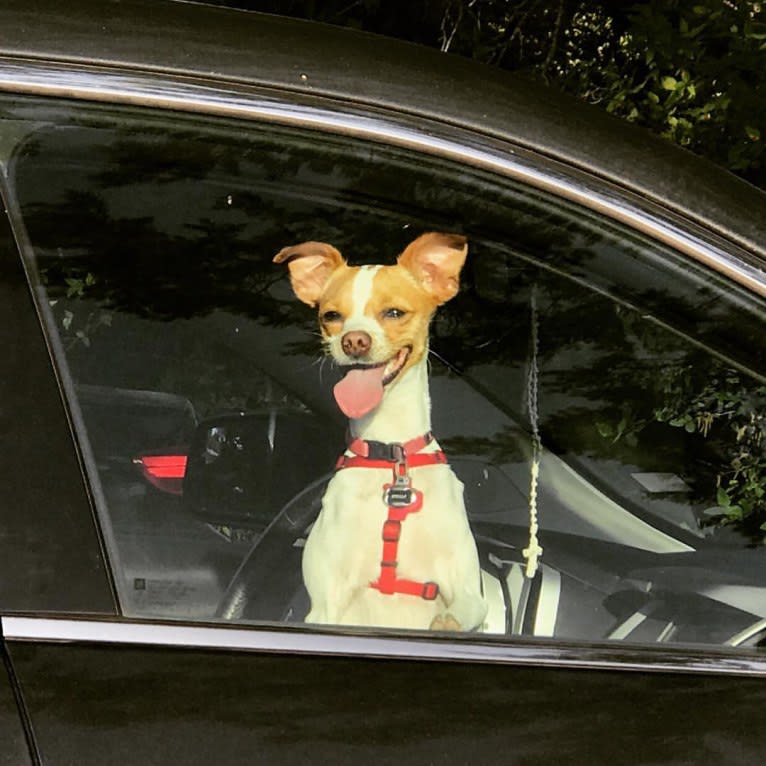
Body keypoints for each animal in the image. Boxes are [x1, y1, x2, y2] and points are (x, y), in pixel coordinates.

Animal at [276, 232, 488, 632]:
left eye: (393, 313)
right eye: (331, 316)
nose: (353, 341)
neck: (391, 453)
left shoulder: (468, 590)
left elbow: (459, 616)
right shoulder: (325, 604)